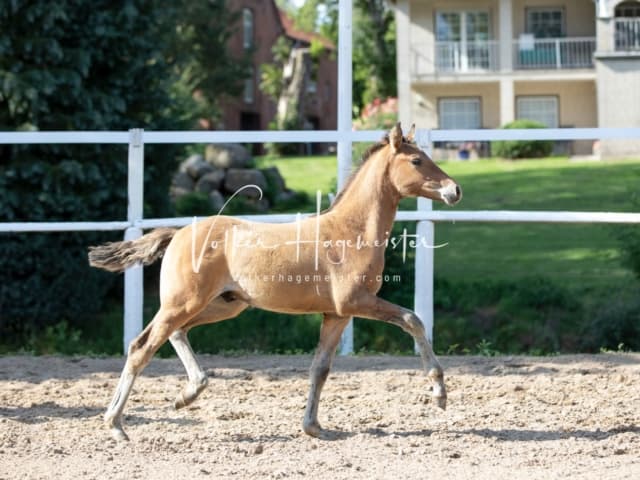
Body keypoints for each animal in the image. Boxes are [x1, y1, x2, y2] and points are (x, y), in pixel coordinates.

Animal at [90, 122, 460, 440]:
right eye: (417, 160)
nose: (454, 190)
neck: (350, 231)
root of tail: (178, 233)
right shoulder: (356, 302)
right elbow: (413, 319)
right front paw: (439, 393)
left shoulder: (337, 314)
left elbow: (320, 368)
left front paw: (313, 427)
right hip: (182, 303)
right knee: (141, 347)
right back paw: (116, 424)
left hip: (223, 305)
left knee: (176, 334)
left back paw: (188, 394)